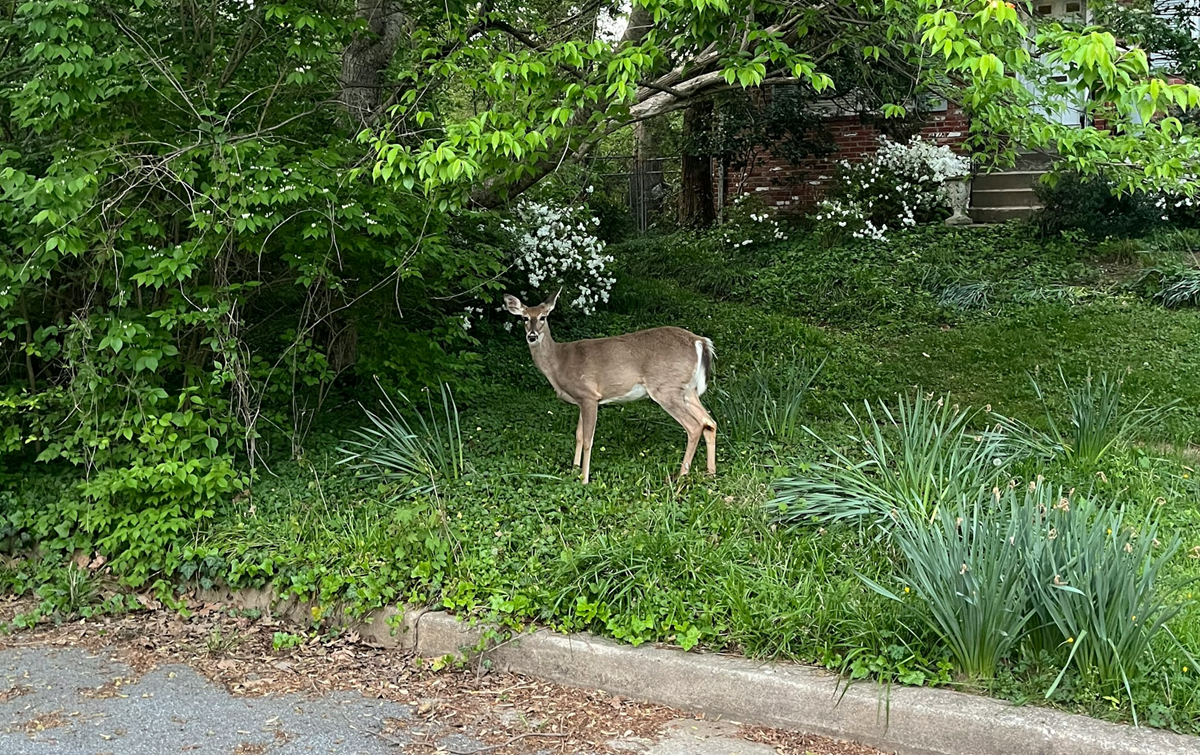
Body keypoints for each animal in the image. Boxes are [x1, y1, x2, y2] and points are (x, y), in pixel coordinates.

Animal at [503, 289, 717, 484]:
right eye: (524, 318)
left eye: (543, 317)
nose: (532, 336)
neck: (559, 362)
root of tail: (700, 341)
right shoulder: (581, 399)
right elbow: (578, 435)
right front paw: (574, 470)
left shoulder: (589, 395)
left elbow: (588, 439)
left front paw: (584, 479)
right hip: (687, 390)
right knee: (709, 422)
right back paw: (710, 473)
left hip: (665, 387)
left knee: (694, 426)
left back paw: (681, 477)